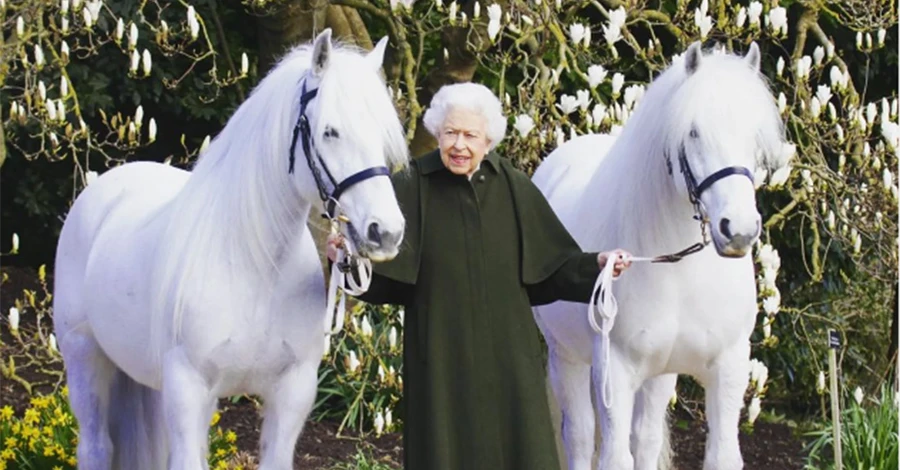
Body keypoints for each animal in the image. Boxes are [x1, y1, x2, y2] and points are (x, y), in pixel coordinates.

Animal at [51, 30, 410, 470]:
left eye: (382, 135)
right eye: (330, 132)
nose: (386, 232)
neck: (255, 267)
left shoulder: (292, 393)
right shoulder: (188, 390)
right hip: (84, 357)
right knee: (96, 446)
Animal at [536, 41, 788, 470]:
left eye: (754, 135)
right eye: (693, 131)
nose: (738, 230)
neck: (678, 271)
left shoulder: (729, 367)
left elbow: (718, 454)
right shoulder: (614, 373)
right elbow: (613, 455)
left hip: (658, 374)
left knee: (646, 437)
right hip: (566, 357)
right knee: (582, 437)